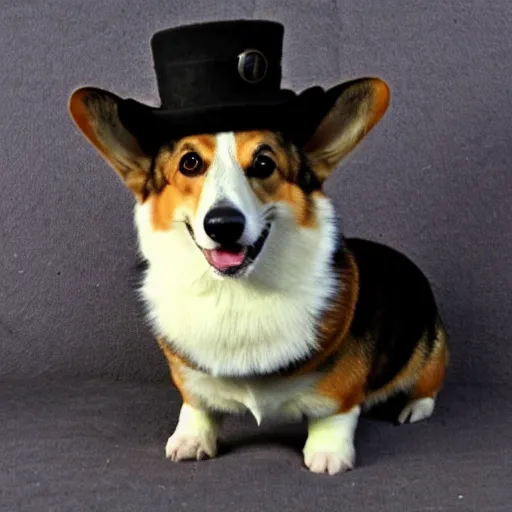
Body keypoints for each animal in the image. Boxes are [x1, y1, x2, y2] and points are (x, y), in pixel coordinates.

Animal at [69, 22, 448, 476]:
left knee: (426, 386)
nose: (223, 226)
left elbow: (335, 415)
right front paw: (190, 439)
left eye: (264, 164)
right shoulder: (190, 379)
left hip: (431, 351)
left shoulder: (342, 395)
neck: (235, 293)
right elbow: (196, 407)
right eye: (190, 163)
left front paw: (328, 455)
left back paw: (413, 409)